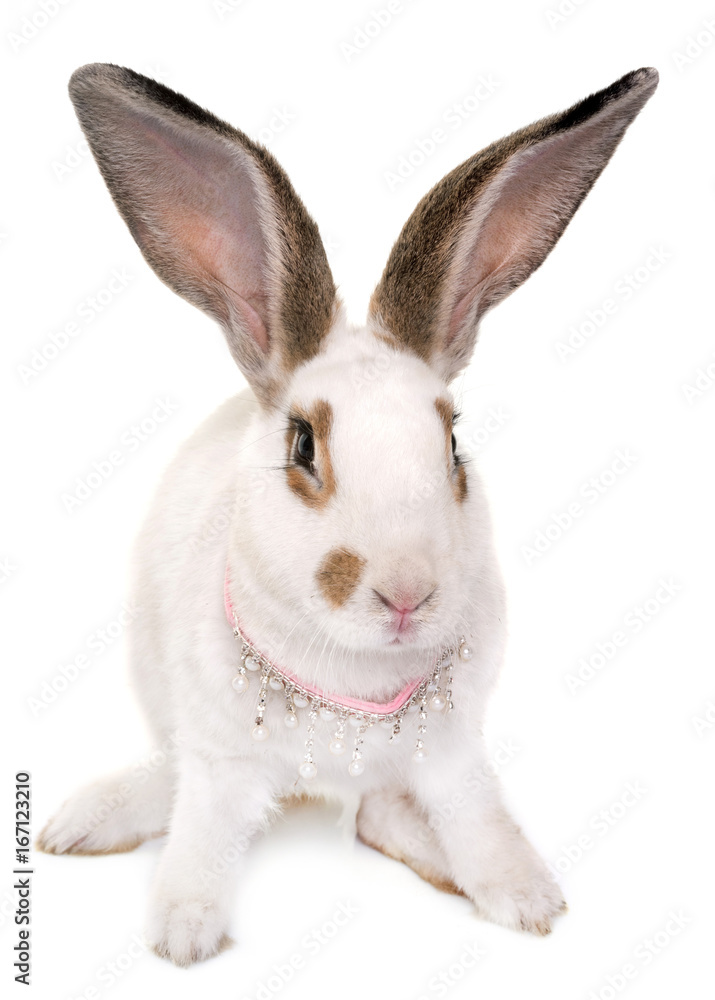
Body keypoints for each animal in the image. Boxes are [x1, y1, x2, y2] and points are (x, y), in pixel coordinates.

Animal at [37, 63, 658, 966]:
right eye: (303, 446)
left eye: (452, 443)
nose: (405, 595)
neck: (350, 685)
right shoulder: (222, 756)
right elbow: (204, 834)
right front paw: (183, 933)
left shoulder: (454, 754)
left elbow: (478, 819)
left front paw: (526, 898)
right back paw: (82, 822)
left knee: (374, 814)